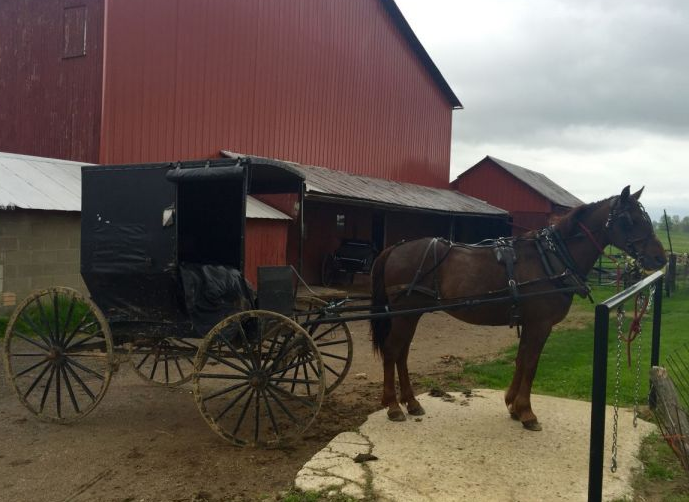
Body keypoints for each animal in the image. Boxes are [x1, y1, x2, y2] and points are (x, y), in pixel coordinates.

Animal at [370, 186, 668, 430]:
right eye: (629, 220)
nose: (660, 258)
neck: (550, 258)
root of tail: (395, 248)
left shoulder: (529, 323)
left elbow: (521, 359)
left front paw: (512, 405)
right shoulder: (540, 324)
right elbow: (531, 362)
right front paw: (526, 412)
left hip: (411, 315)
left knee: (402, 353)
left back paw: (411, 402)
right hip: (405, 314)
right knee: (393, 351)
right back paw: (394, 407)